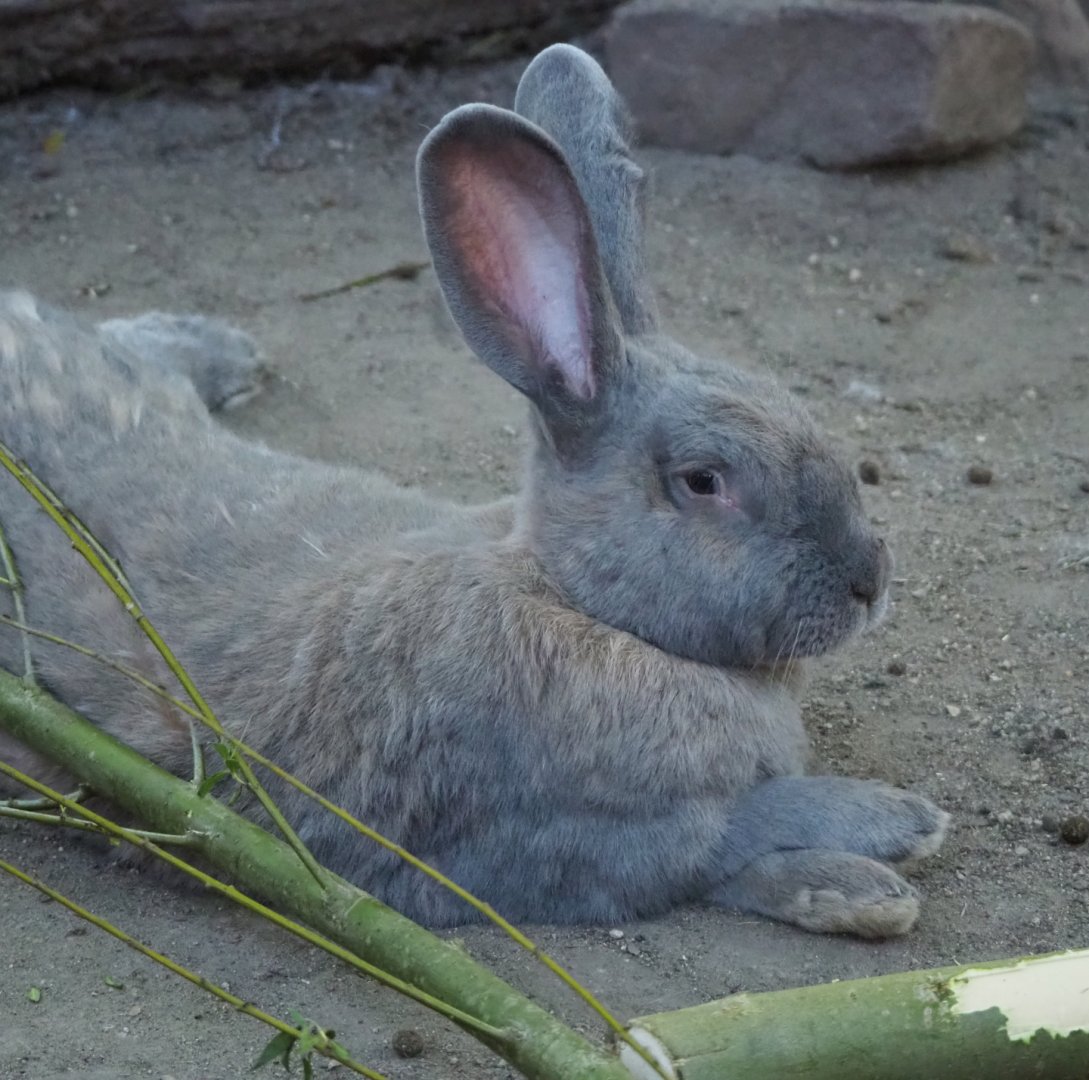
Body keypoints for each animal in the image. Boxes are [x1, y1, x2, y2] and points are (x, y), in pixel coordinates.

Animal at [0, 44, 947, 937]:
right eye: (703, 481)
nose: (870, 581)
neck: (575, 601)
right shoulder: (590, 843)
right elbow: (739, 835)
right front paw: (889, 846)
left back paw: (229, 349)